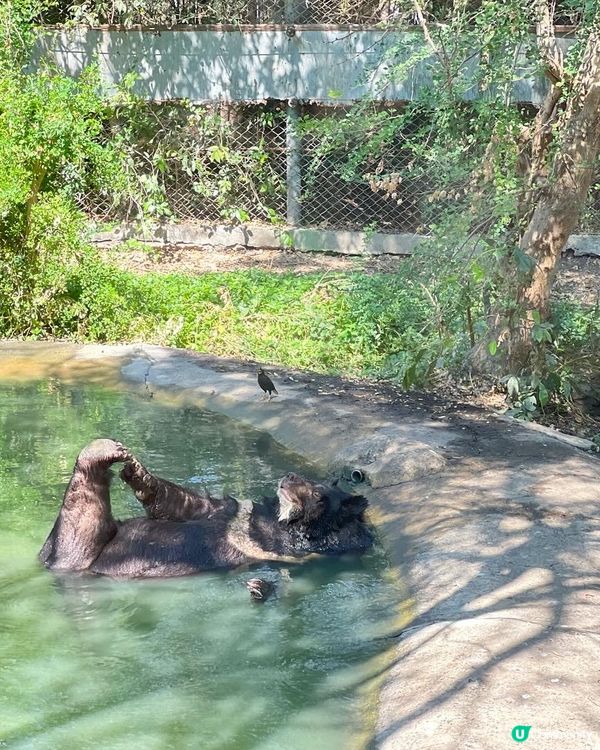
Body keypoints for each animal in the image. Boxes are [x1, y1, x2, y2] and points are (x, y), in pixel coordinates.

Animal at [39, 438, 372, 580]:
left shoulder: (277, 541)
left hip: (78, 550)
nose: (289, 476)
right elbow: (193, 505)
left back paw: (97, 452)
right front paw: (139, 475)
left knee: (82, 518)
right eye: (308, 477)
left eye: (317, 492)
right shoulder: (242, 512)